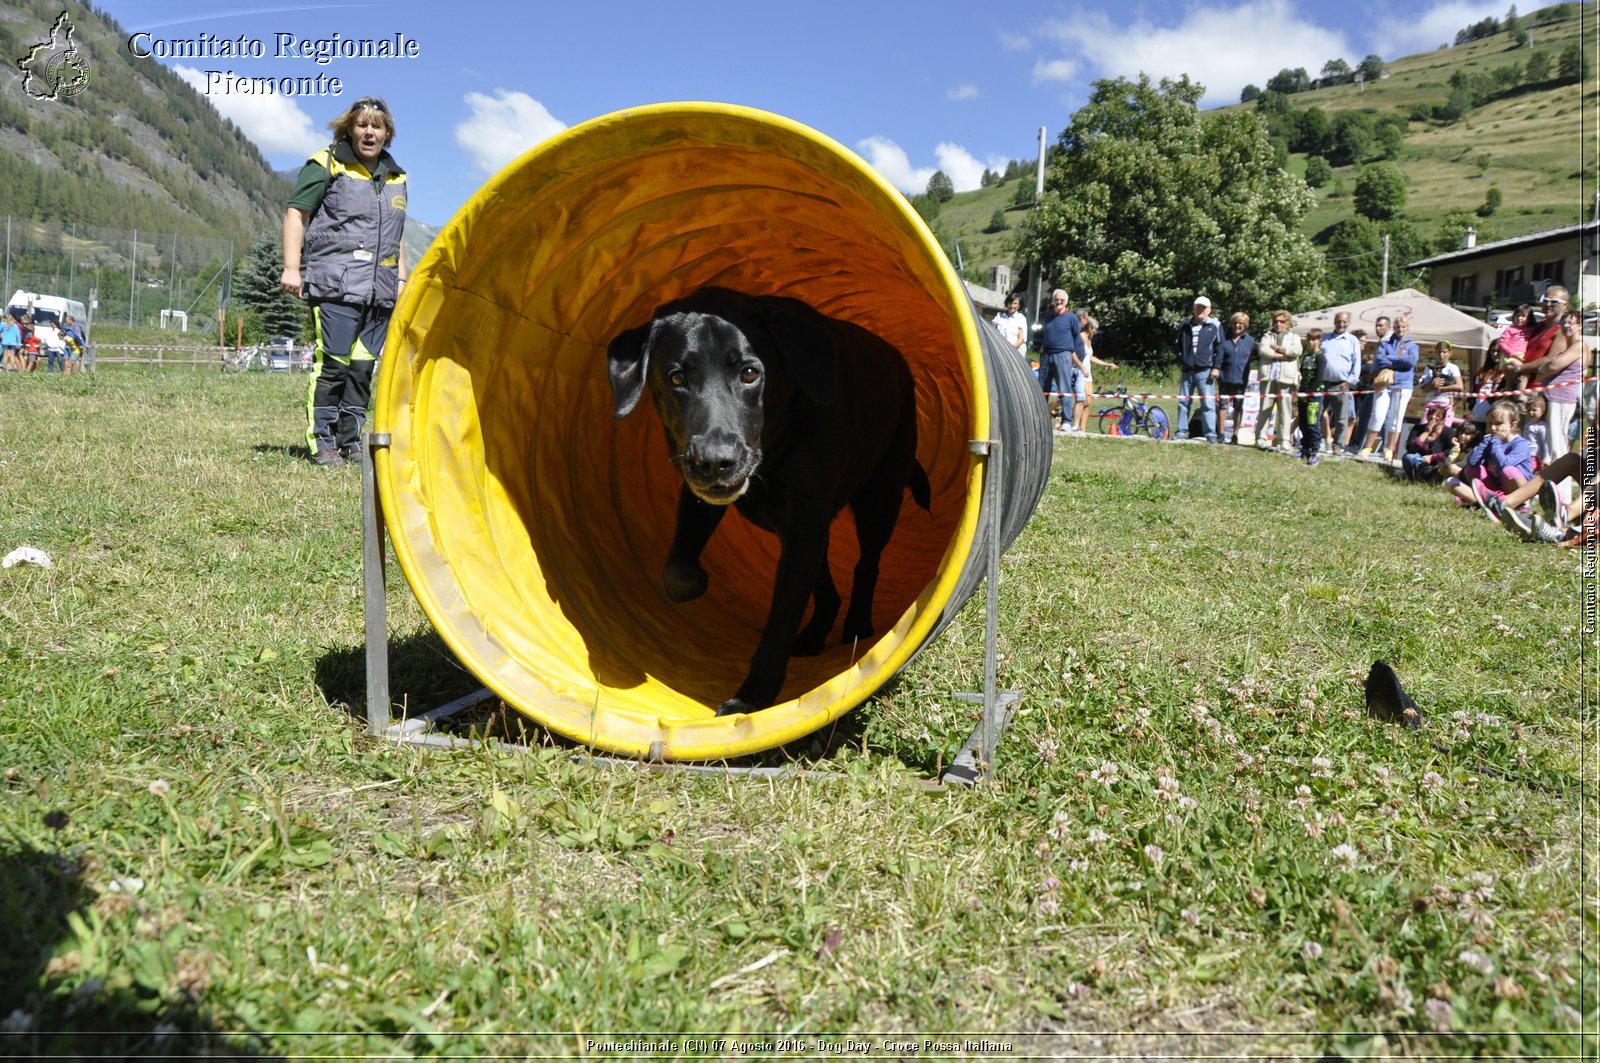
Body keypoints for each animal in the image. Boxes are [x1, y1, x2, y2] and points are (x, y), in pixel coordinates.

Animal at [604, 284, 934, 714]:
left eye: (750, 373)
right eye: (676, 377)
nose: (716, 461)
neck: (776, 444)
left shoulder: (802, 531)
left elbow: (779, 622)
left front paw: (751, 699)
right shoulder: (701, 497)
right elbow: (677, 570)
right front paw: (697, 583)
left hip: (879, 499)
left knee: (867, 565)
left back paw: (858, 626)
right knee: (826, 584)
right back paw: (813, 635)